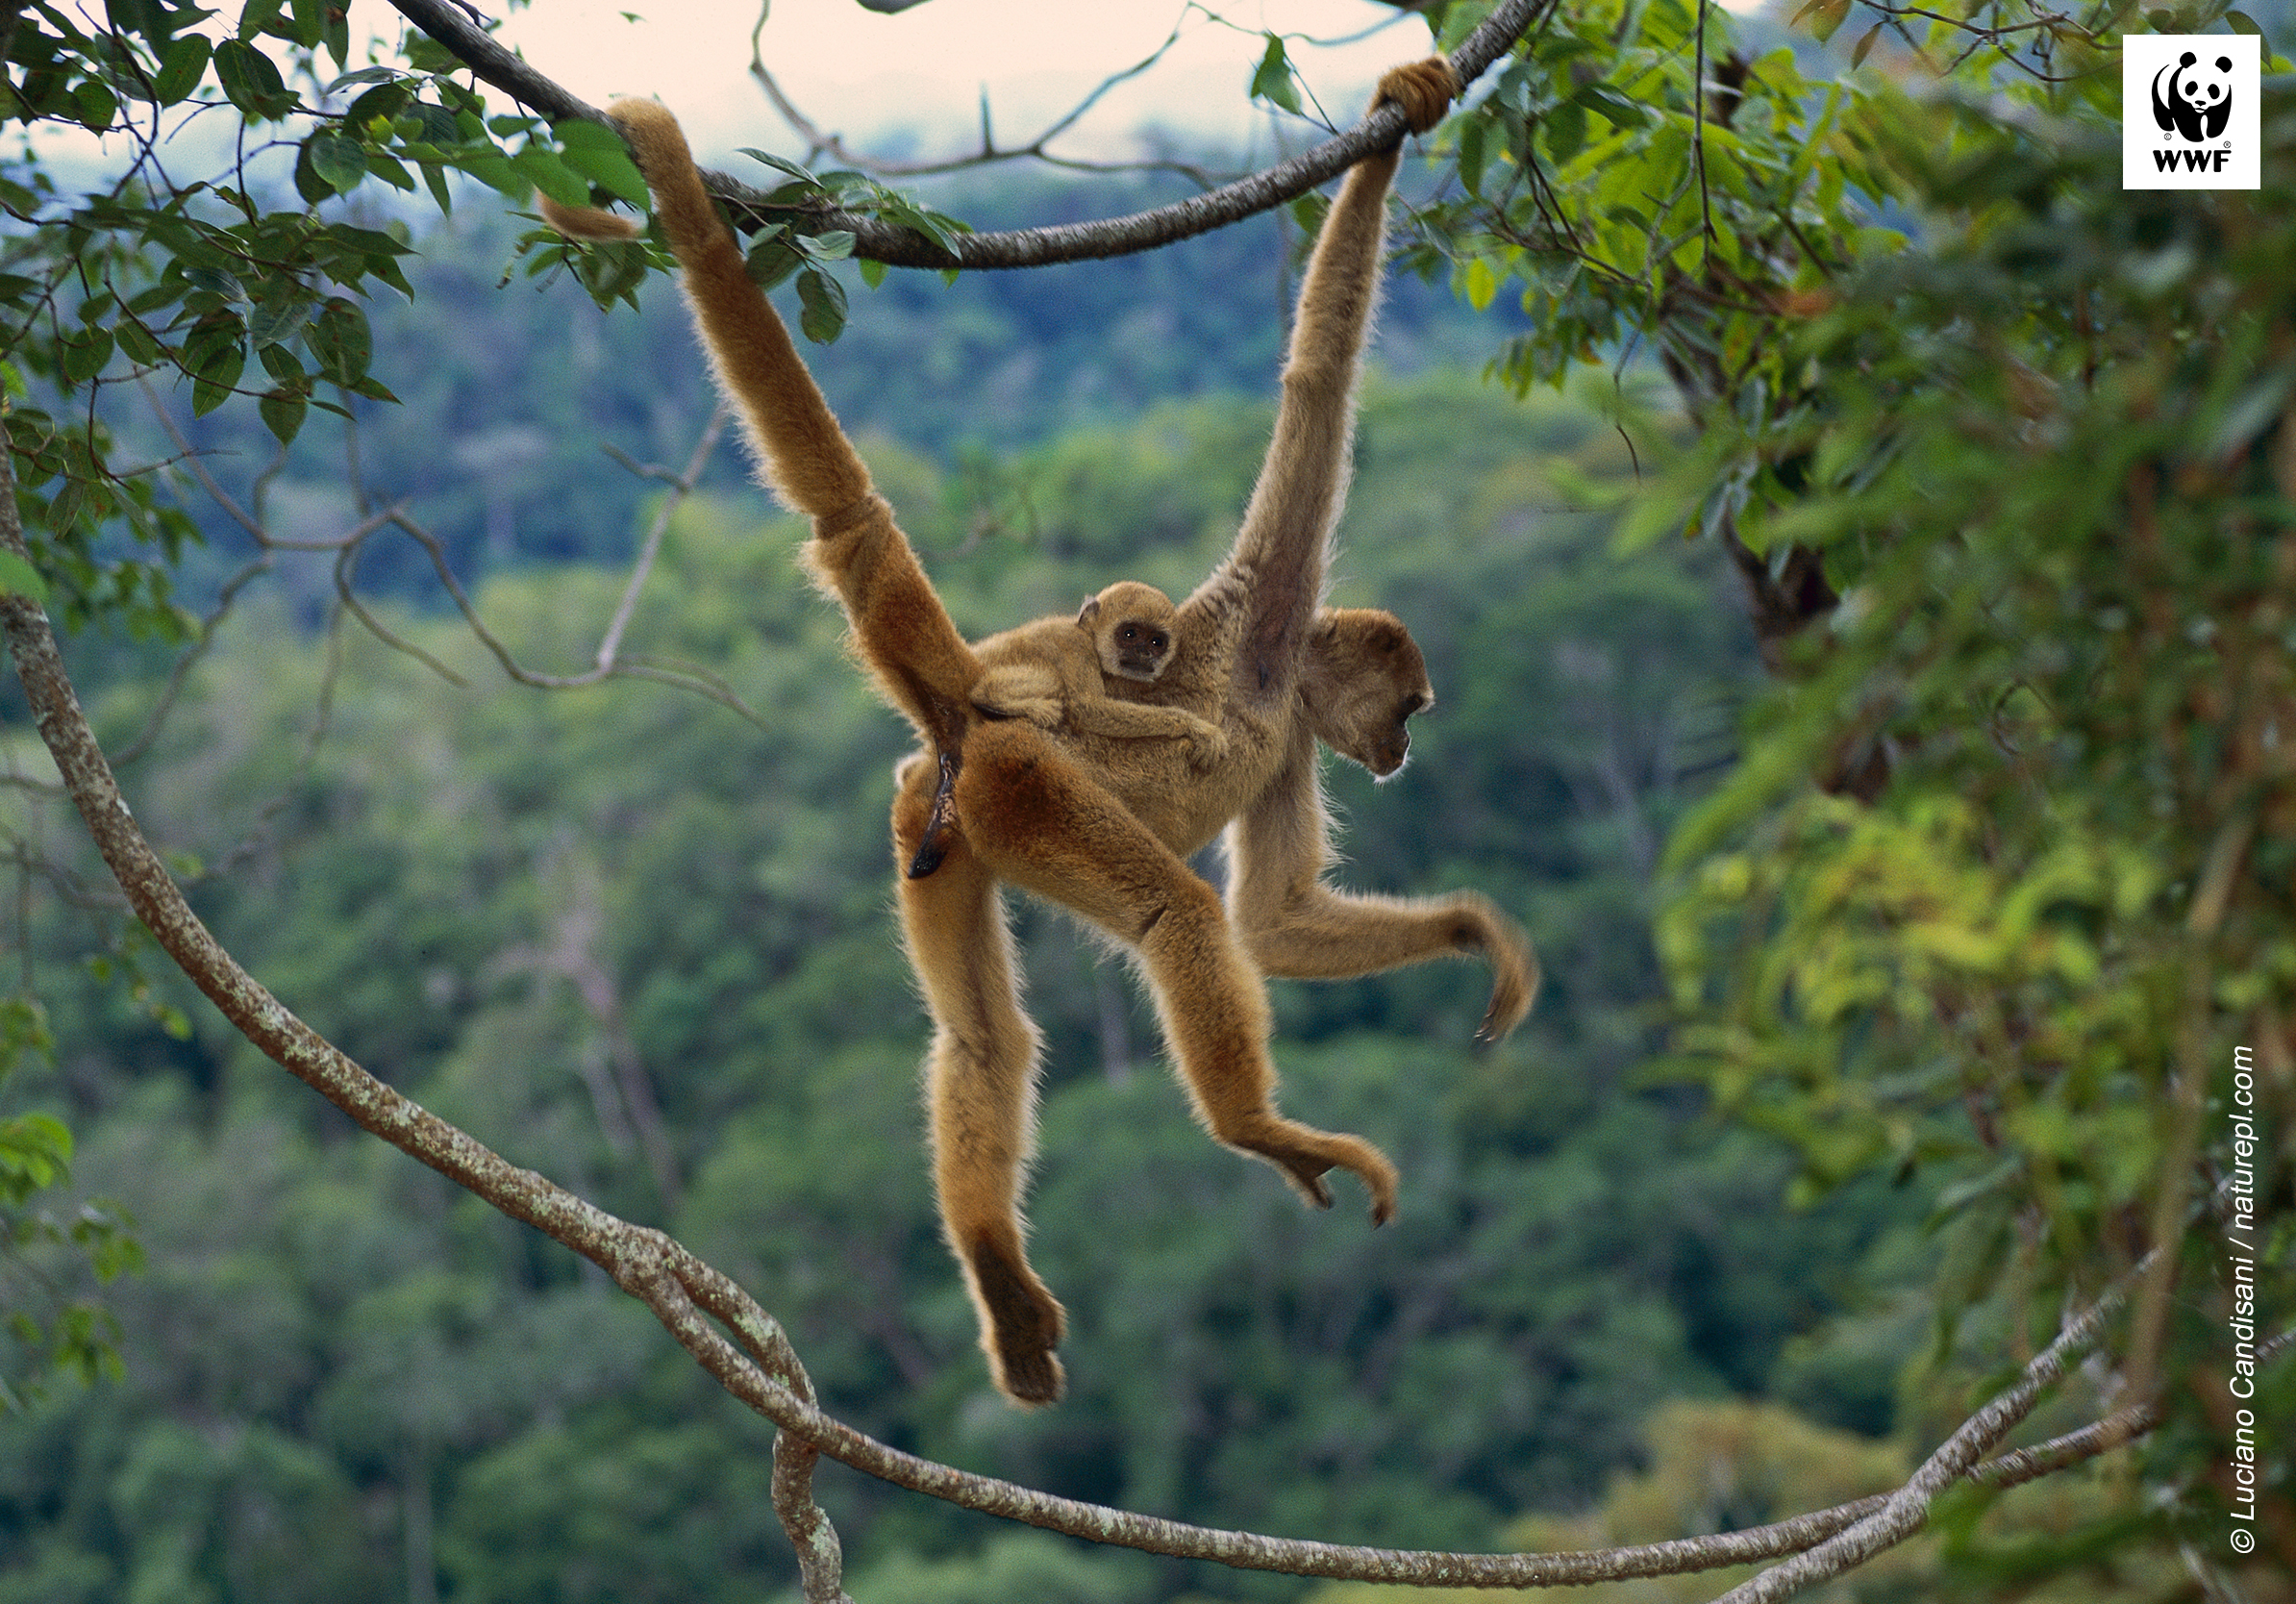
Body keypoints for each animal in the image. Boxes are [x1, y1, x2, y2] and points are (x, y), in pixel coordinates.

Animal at [545, 57, 1538, 1406]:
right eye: (1413, 705)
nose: (1406, 752)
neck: (1279, 684)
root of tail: (965, 710)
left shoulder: (1286, 742)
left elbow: (1278, 920)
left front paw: (1471, 933)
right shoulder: (1271, 612)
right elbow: (1319, 385)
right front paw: (1399, 119)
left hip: (941, 823)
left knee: (983, 1040)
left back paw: (1000, 1276)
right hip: (1026, 789)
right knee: (1175, 914)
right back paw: (1257, 1131)